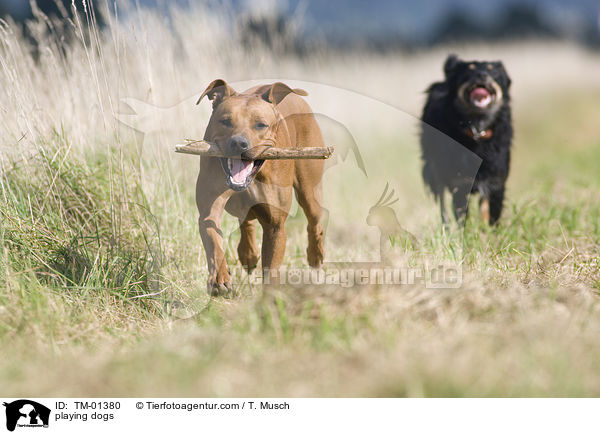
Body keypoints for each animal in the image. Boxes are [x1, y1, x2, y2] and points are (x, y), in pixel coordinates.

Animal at [195, 79, 326, 294]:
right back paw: (248, 254)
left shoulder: (275, 225)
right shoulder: (208, 210)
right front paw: (219, 279)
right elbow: (214, 241)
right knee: (246, 220)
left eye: (261, 125)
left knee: (315, 221)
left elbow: (271, 268)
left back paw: (316, 255)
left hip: (309, 190)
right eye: (225, 121)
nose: (239, 143)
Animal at [422, 54, 510, 225]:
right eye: (469, 70)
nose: (481, 74)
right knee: (442, 203)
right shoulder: (460, 183)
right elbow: (462, 214)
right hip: (435, 171)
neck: (476, 130)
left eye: (493, 71)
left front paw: (488, 230)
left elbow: (489, 211)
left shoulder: (494, 181)